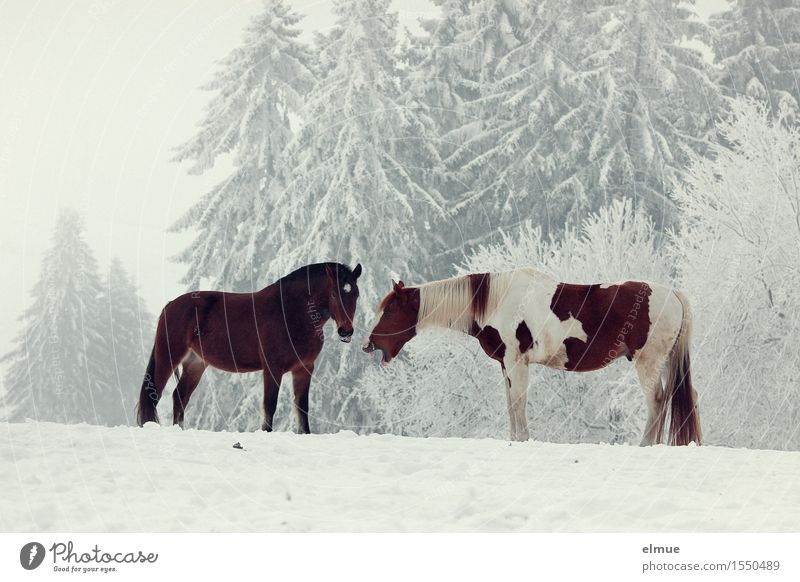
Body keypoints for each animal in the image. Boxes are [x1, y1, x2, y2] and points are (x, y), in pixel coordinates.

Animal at [138, 264, 362, 434]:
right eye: (334, 293)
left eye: (356, 295)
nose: (346, 331)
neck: (290, 311)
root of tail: (169, 306)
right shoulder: (273, 368)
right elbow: (270, 404)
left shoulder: (304, 369)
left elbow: (302, 407)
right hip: (168, 358)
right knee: (154, 394)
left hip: (196, 364)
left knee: (179, 397)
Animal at [362, 270, 700, 448]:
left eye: (389, 311)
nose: (367, 344)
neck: (496, 301)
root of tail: (674, 295)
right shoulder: (506, 365)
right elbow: (510, 404)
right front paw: (513, 440)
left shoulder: (516, 361)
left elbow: (518, 403)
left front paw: (522, 439)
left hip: (648, 362)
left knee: (656, 401)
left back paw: (646, 445)